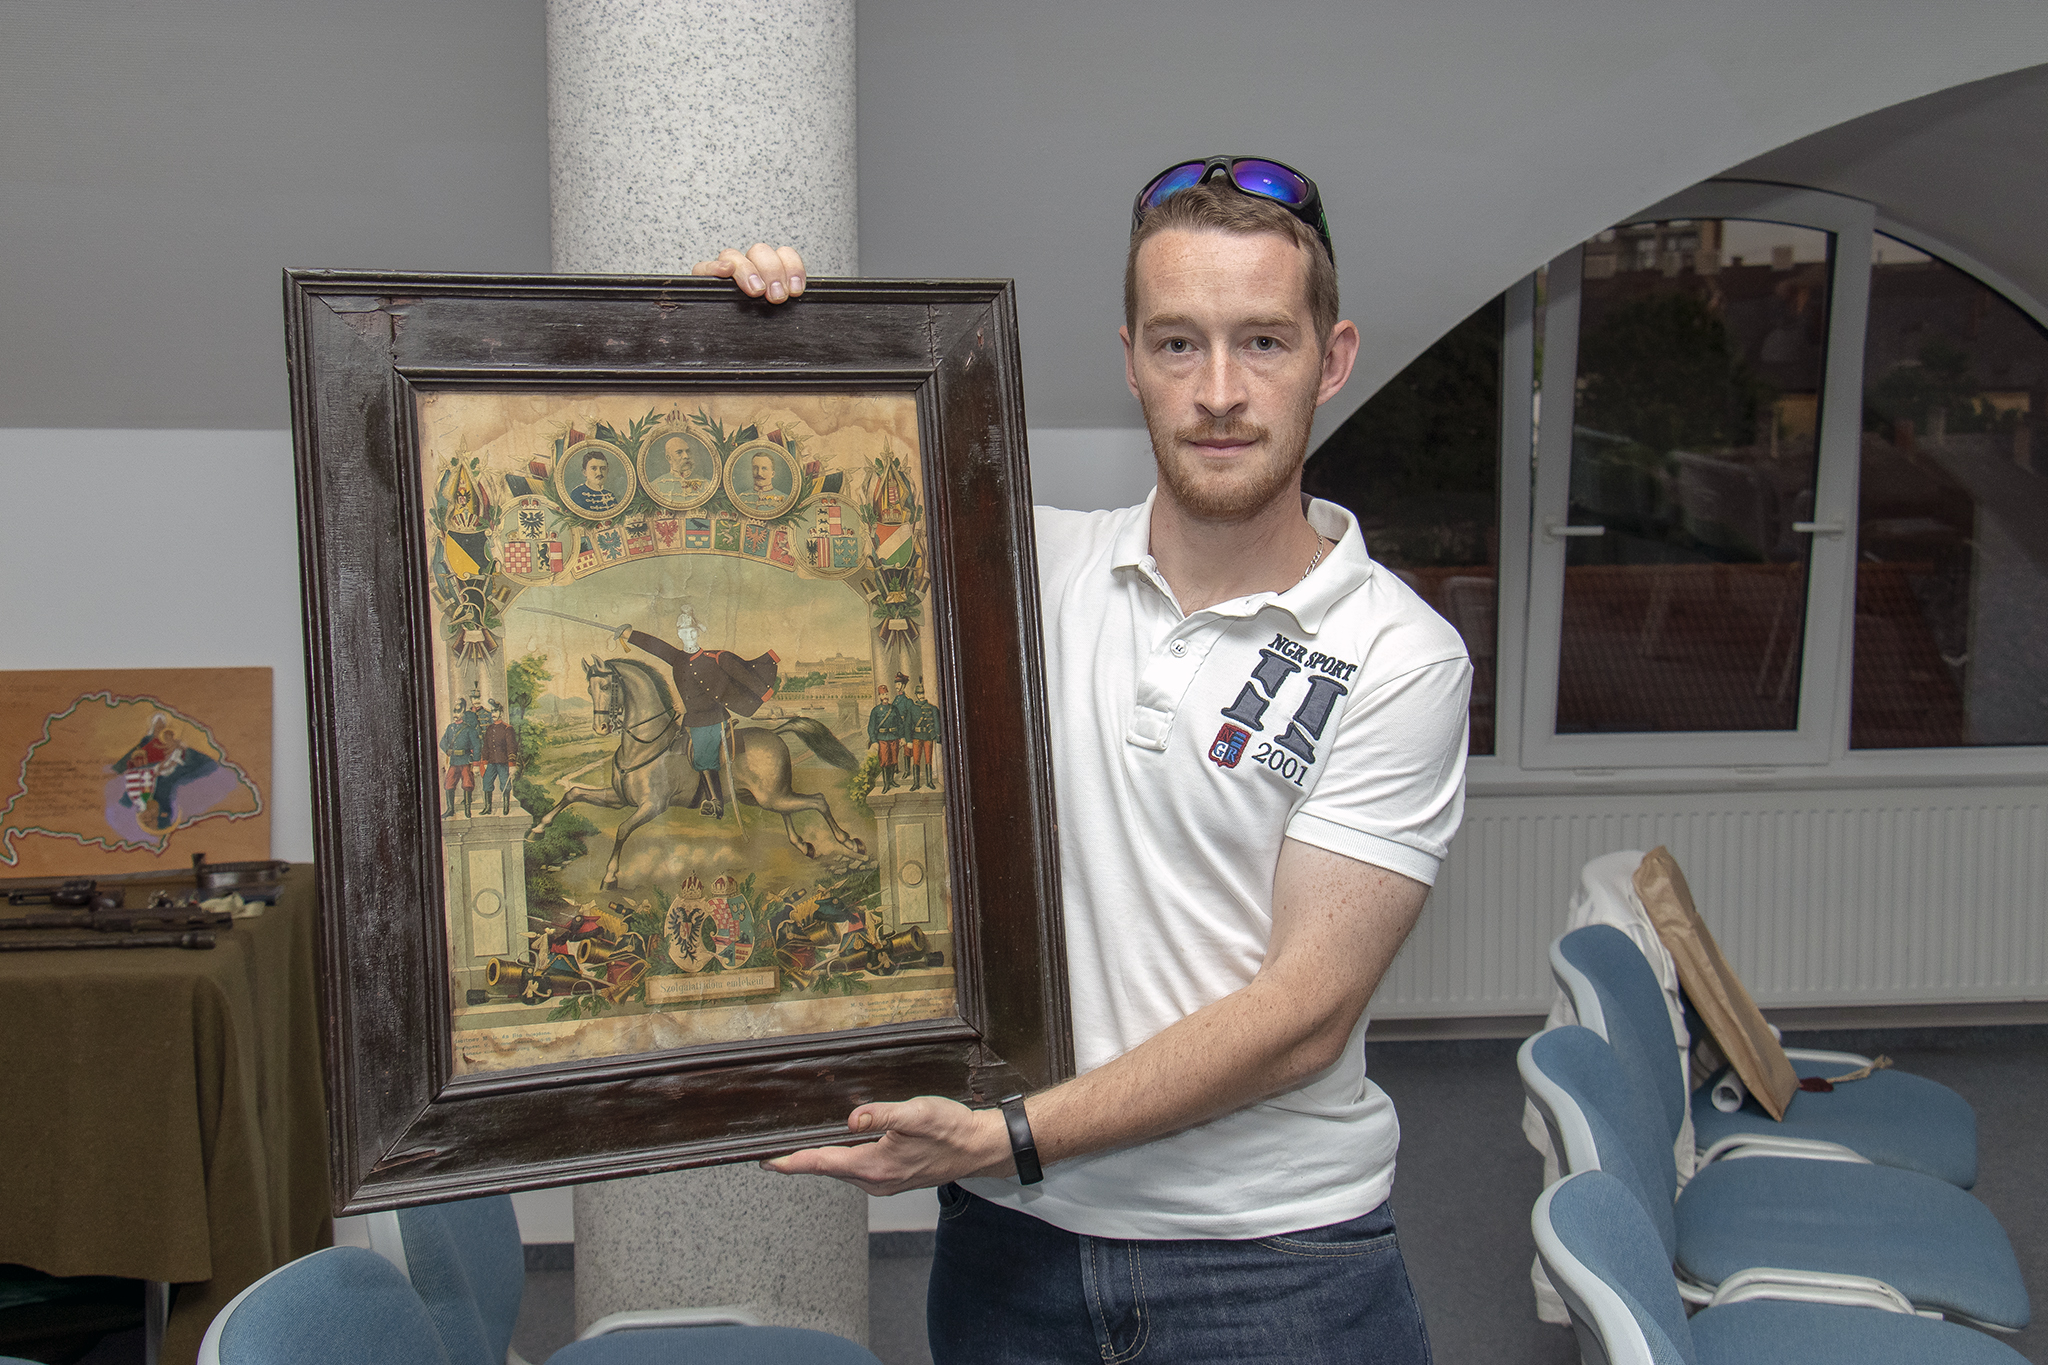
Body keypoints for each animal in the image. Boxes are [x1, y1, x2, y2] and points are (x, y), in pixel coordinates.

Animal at [527, 655, 866, 888]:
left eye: (608, 686)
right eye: (588, 687)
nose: (600, 727)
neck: (647, 745)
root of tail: (775, 732)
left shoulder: (652, 806)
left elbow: (622, 829)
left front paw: (610, 876)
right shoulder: (619, 799)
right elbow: (573, 793)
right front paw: (537, 829)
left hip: (771, 796)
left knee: (818, 800)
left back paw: (851, 842)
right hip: (760, 797)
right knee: (790, 808)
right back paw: (802, 844)